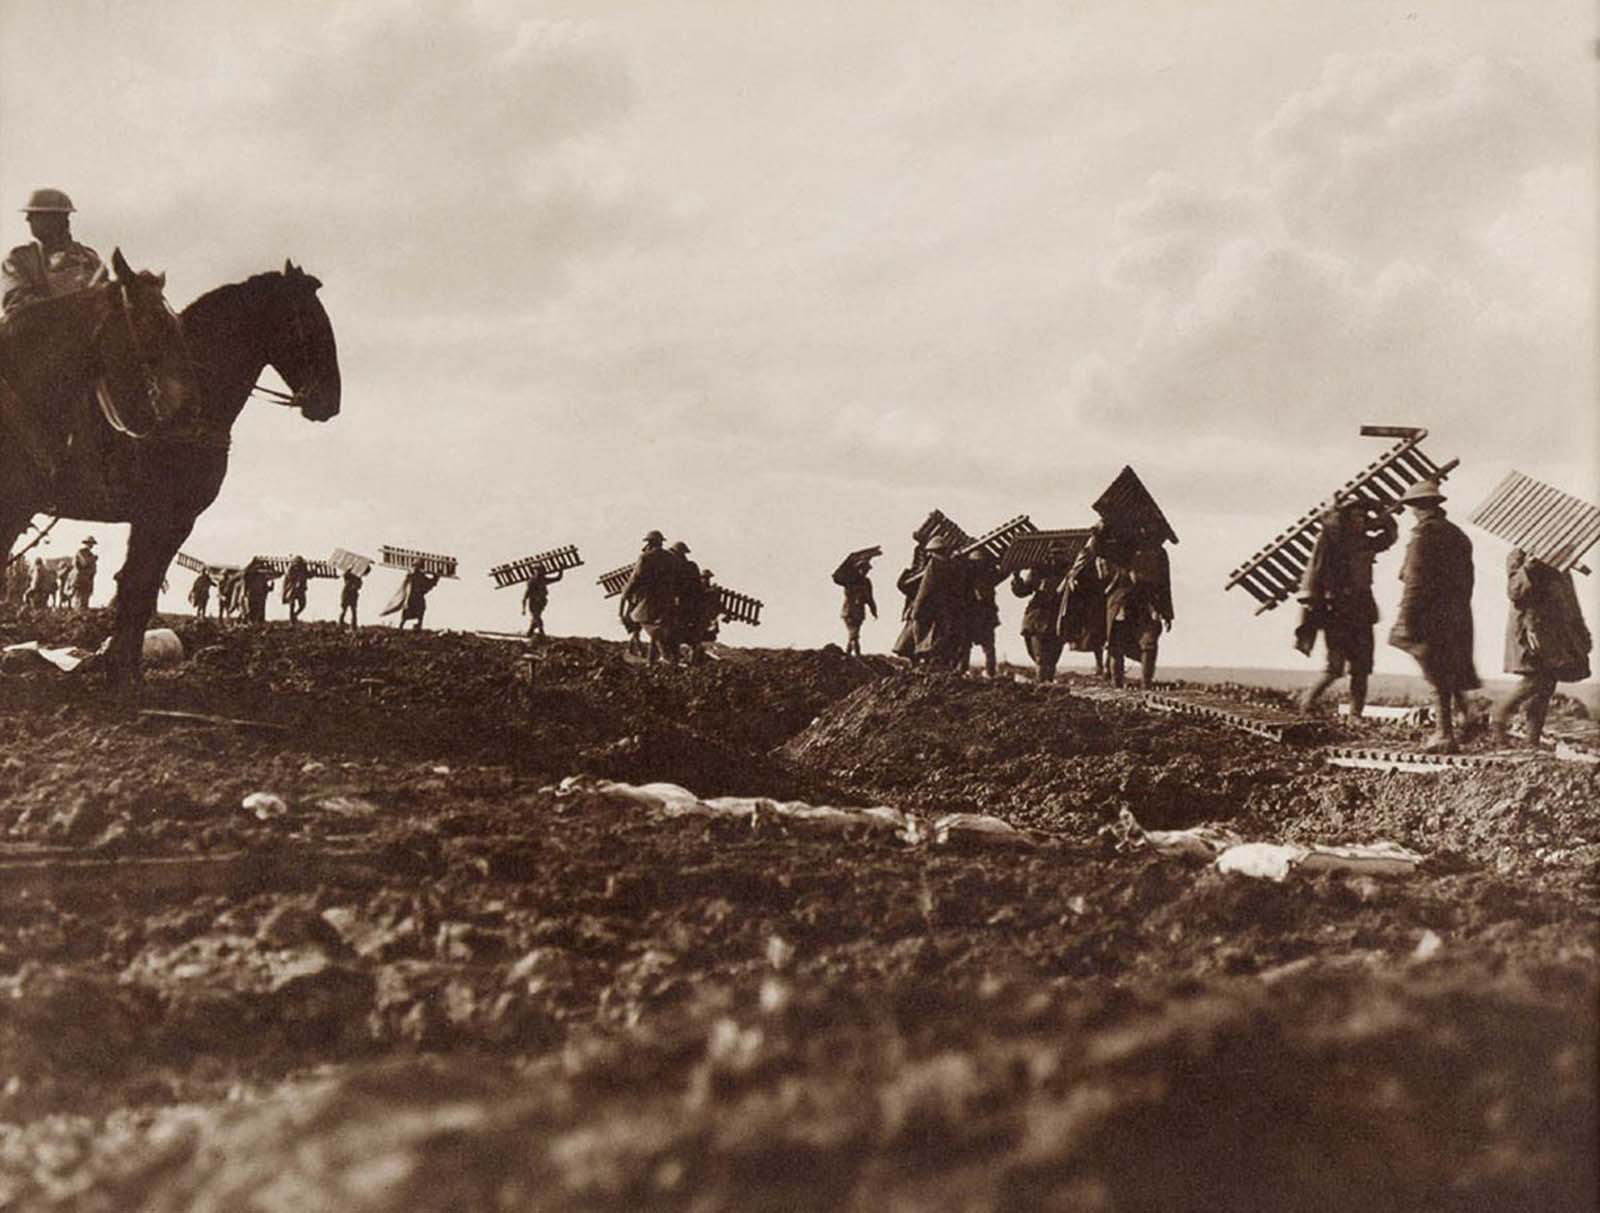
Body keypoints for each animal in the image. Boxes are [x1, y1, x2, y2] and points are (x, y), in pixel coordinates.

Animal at [1, 260, 340, 678]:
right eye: (309, 321)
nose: (330, 401)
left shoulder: (162, 520)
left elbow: (137, 589)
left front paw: (118, 660)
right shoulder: (166, 516)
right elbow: (137, 587)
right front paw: (120, 665)